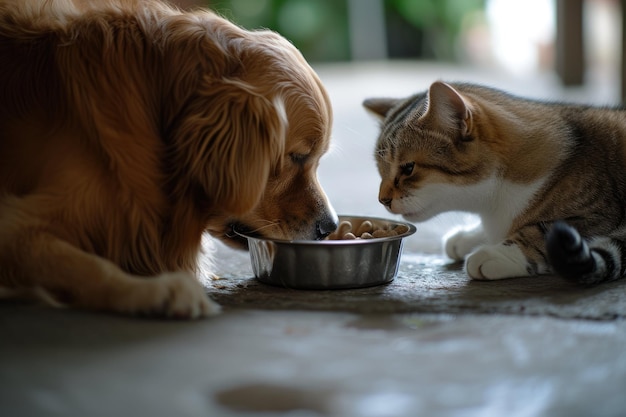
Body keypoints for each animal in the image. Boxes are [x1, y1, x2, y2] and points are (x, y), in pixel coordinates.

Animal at [364, 81, 624, 282]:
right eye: (380, 169)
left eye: (408, 168)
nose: (382, 200)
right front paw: (470, 236)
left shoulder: (599, 214)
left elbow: (541, 230)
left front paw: (499, 254)